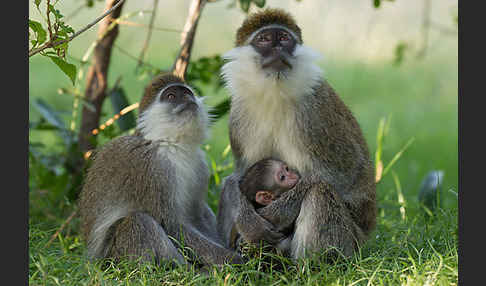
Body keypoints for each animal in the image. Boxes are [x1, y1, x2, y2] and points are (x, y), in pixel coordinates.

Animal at [218, 8, 378, 260]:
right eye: (264, 39)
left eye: (284, 38)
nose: (278, 48)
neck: (274, 93)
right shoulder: (239, 116)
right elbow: (241, 177)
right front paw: (247, 220)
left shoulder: (315, 115)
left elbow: (341, 178)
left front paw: (275, 214)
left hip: (352, 244)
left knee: (320, 192)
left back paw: (312, 265)